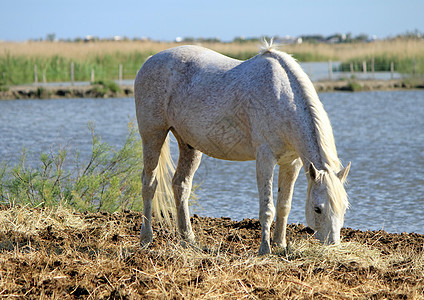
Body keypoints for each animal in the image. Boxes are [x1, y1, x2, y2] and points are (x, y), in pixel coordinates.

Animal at [134, 42, 350, 254]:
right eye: (317, 209)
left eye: (344, 207)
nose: (333, 246)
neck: (282, 98)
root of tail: (149, 60)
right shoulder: (265, 159)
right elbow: (267, 208)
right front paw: (264, 249)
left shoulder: (292, 162)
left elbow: (284, 205)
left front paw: (280, 245)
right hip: (153, 136)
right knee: (149, 184)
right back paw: (146, 239)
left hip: (189, 145)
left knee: (181, 185)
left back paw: (189, 241)